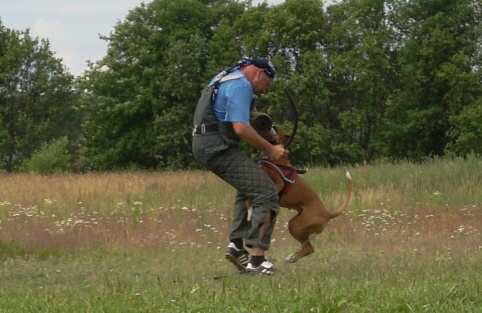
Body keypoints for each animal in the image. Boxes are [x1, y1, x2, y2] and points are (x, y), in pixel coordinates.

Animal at [250, 125, 352, 264]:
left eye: (277, 129)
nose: (272, 125)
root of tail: (327, 213)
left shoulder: (277, 183)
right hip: (297, 223)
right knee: (307, 247)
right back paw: (291, 257)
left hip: (296, 226)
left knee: (309, 248)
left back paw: (292, 258)